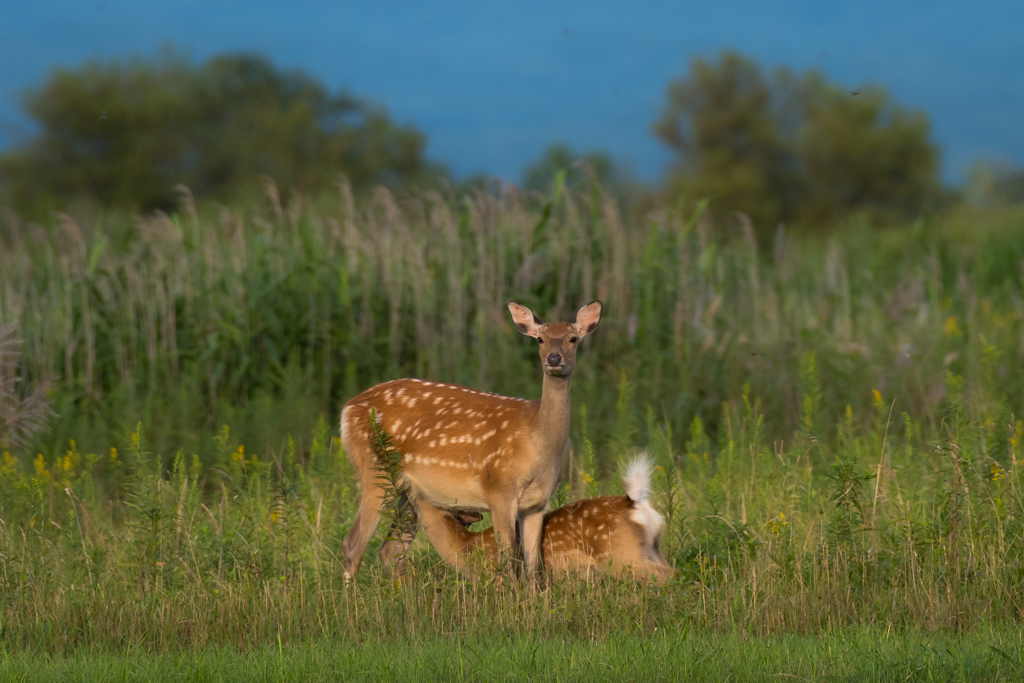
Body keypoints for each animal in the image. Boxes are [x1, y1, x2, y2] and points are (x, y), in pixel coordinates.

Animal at [339, 301, 602, 581]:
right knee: (353, 545)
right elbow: (508, 560)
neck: (538, 444)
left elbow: (532, 566)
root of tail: (347, 409)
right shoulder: (499, 490)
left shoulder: (536, 504)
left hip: (408, 489)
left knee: (390, 550)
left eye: (573, 339)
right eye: (540, 339)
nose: (554, 359)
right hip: (373, 469)